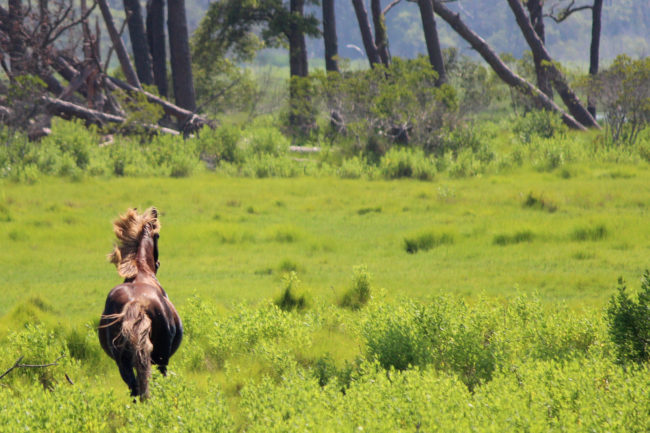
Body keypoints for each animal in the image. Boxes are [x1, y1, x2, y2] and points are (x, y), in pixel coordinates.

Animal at [97, 208, 182, 400]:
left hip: (123, 362)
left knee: (134, 387)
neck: (141, 271)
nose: (158, 263)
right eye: (157, 235)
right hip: (160, 359)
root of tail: (135, 303)